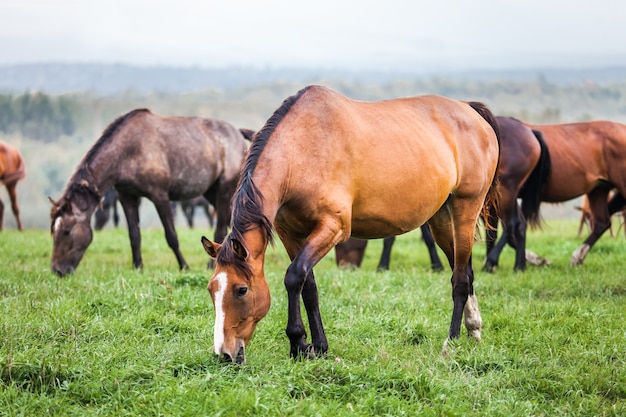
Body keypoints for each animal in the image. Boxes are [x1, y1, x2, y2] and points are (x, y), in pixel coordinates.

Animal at [49, 109, 249, 274]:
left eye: (66, 231)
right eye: (53, 231)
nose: (58, 270)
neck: (128, 151)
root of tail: (238, 134)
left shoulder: (159, 196)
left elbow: (171, 236)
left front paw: (184, 266)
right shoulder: (126, 196)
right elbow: (134, 235)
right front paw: (138, 267)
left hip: (224, 191)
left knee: (220, 228)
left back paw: (212, 265)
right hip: (211, 192)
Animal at [200, 84, 498, 360]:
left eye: (241, 290)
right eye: (212, 289)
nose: (224, 354)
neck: (303, 151)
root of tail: (470, 110)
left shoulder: (333, 227)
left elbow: (294, 277)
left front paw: (298, 343)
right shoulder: (291, 233)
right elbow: (308, 285)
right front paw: (318, 346)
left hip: (465, 209)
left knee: (460, 279)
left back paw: (452, 341)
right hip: (441, 219)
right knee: (464, 270)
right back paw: (473, 329)